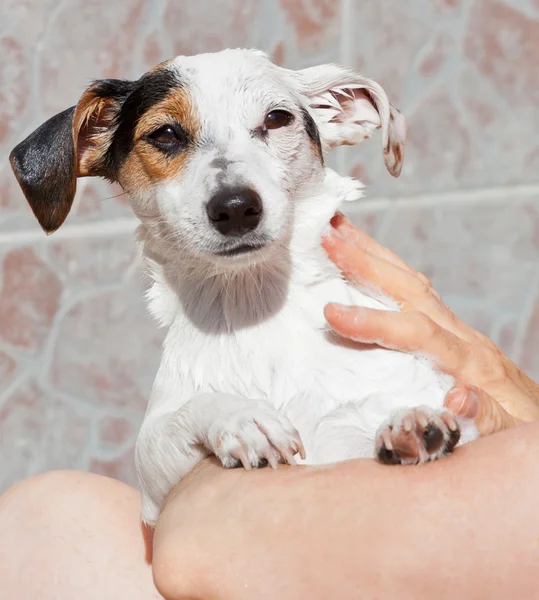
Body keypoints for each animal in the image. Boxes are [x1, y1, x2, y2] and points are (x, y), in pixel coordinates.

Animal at [10, 48, 478, 524]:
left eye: (277, 118)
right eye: (165, 134)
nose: (235, 207)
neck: (257, 307)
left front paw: (411, 421)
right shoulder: (154, 488)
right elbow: (181, 416)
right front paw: (241, 419)